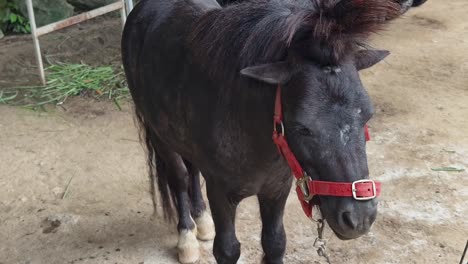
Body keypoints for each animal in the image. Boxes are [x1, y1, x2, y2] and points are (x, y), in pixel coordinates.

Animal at [123, 0, 402, 262]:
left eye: (367, 115)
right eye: (302, 127)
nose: (358, 218)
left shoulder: (276, 189)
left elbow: (275, 243)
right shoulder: (220, 194)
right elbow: (227, 250)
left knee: (192, 170)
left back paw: (202, 222)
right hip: (160, 136)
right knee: (180, 177)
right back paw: (187, 239)